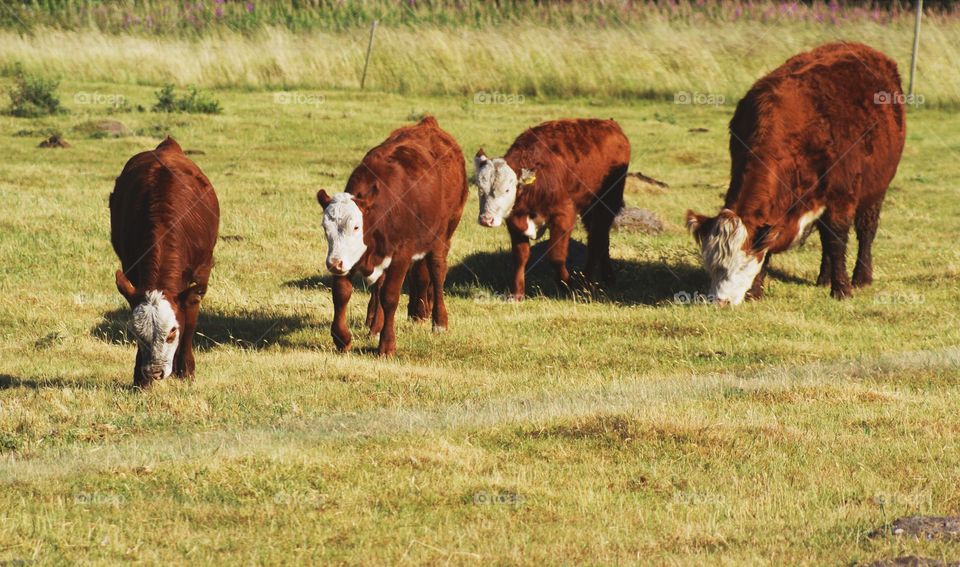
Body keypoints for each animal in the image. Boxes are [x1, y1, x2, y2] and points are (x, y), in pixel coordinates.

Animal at [110, 136, 219, 390]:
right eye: (137, 334)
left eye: (171, 333)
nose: (154, 372)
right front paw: (140, 379)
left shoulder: (201, 275)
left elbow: (190, 322)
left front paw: (186, 371)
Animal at [316, 115, 466, 356]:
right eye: (325, 227)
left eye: (356, 227)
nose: (334, 263)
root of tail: (429, 124)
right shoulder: (352, 256)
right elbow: (341, 293)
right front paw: (342, 338)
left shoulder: (401, 256)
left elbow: (390, 296)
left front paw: (386, 345)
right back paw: (375, 325)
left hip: (443, 234)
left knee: (437, 271)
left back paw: (439, 322)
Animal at [472, 117, 632, 300]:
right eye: (480, 187)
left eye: (507, 190)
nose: (486, 219)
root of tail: (610, 124)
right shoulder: (513, 221)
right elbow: (520, 257)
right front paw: (517, 294)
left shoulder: (564, 215)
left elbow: (556, 256)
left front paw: (567, 287)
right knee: (601, 238)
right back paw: (607, 278)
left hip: (608, 200)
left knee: (596, 240)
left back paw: (586, 283)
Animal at [688, 42, 904, 306]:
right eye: (711, 266)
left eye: (741, 266)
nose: (719, 301)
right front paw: (755, 292)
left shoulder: (842, 196)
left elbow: (836, 240)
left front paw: (842, 289)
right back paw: (824, 278)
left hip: (876, 188)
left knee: (865, 231)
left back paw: (861, 277)